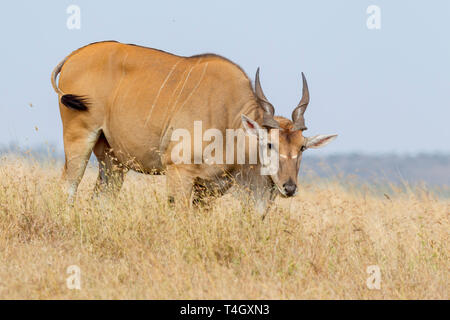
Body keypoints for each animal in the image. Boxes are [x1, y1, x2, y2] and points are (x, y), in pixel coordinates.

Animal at [51, 40, 336, 215]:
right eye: (269, 144)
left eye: (302, 148)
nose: (289, 187)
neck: (230, 120)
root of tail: (73, 56)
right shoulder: (179, 173)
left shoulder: (209, 189)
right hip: (79, 139)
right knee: (68, 186)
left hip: (113, 162)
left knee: (102, 199)